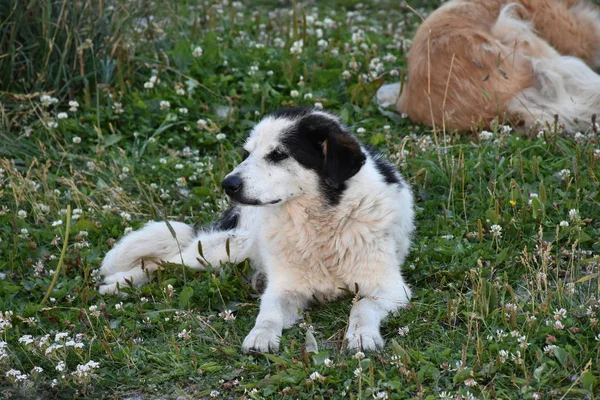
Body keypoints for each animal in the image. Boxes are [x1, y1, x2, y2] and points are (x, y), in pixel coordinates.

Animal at [101, 108, 414, 352]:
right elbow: (268, 314)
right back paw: (118, 283)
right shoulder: (284, 287)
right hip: (225, 249)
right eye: (247, 153)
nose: (228, 184)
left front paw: (362, 336)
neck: (320, 223)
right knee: (165, 260)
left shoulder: (391, 288)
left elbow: (361, 306)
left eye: (278, 154)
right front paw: (260, 338)